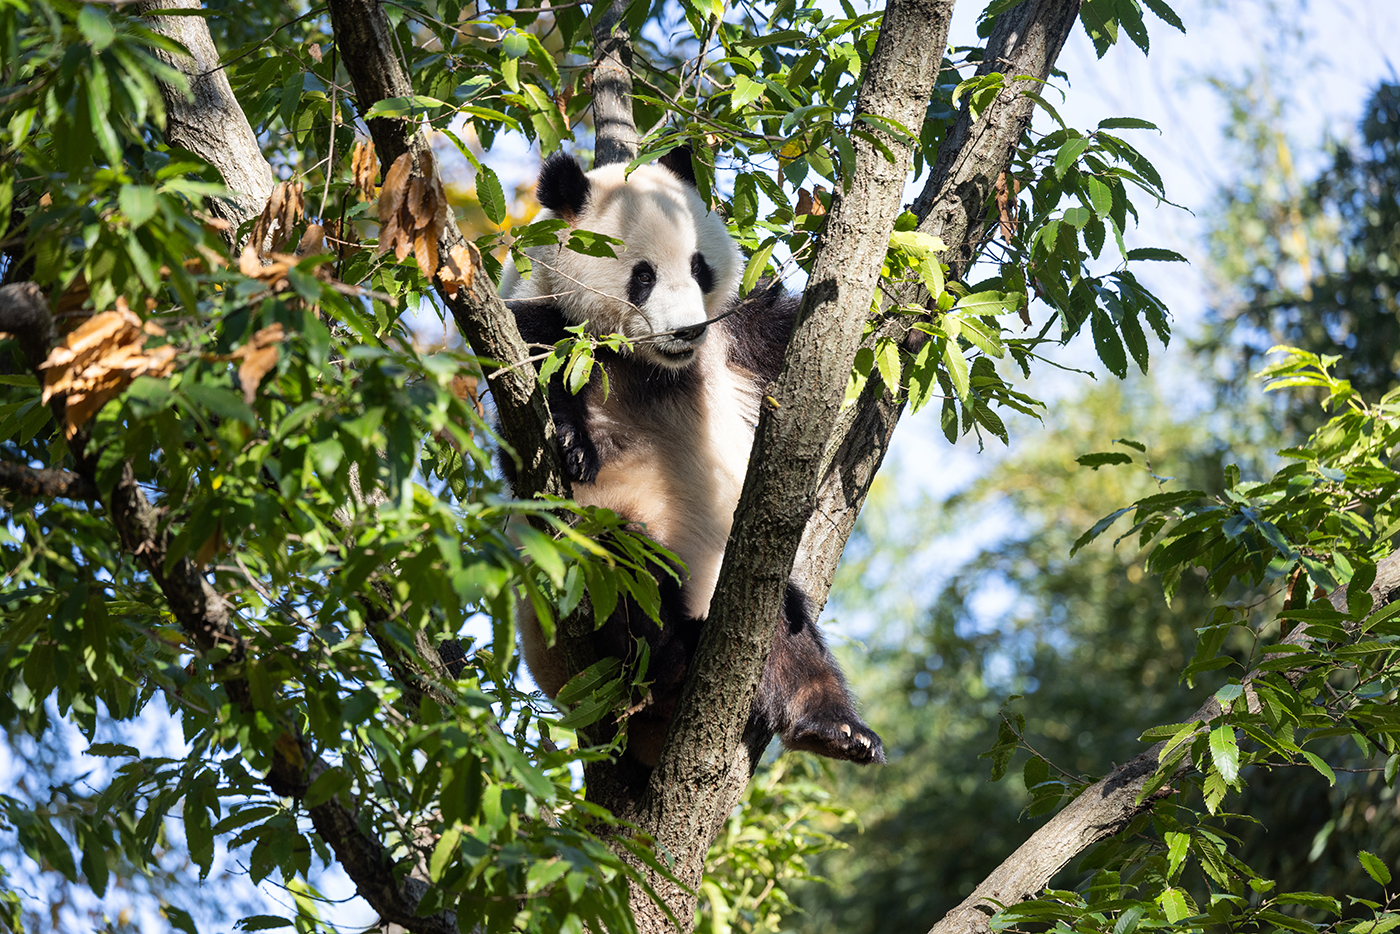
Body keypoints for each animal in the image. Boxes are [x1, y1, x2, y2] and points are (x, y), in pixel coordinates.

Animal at [498, 151, 879, 767]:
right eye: (643, 275)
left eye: (700, 268)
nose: (688, 330)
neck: (653, 366)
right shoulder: (540, 321)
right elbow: (532, 408)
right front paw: (573, 445)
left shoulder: (738, 333)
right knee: (626, 570)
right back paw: (670, 657)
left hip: (742, 590)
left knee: (787, 629)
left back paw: (834, 727)